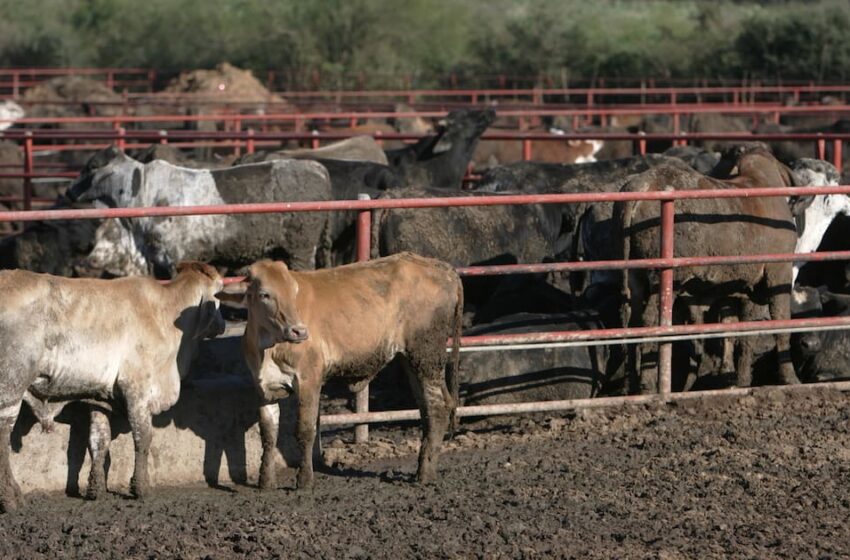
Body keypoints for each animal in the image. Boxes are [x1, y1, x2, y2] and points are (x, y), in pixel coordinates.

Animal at [0, 262, 225, 512]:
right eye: (219, 294)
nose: (223, 325)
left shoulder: (99, 399)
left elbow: (99, 441)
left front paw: (95, 489)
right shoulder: (137, 391)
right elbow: (143, 438)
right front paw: (141, 488)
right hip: (11, 385)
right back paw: (11, 499)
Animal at [64, 144, 334, 276]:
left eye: (92, 166)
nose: (68, 191)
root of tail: (317, 168)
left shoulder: (176, 256)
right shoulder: (158, 260)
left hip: (301, 247)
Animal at [215, 252, 460, 488]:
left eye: (294, 291)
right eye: (264, 294)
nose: (299, 331)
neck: (268, 347)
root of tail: (444, 269)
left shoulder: (309, 379)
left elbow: (305, 429)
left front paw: (305, 481)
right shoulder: (263, 386)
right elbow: (268, 432)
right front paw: (265, 481)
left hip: (426, 354)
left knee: (436, 408)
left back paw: (424, 474)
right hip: (413, 360)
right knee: (430, 408)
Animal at [612, 147, 800, 396]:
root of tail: (642, 185)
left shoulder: (735, 287)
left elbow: (734, 331)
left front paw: (733, 379)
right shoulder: (779, 272)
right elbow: (778, 324)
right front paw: (789, 378)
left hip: (634, 275)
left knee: (631, 319)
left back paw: (631, 384)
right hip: (663, 277)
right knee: (650, 319)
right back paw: (648, 385)